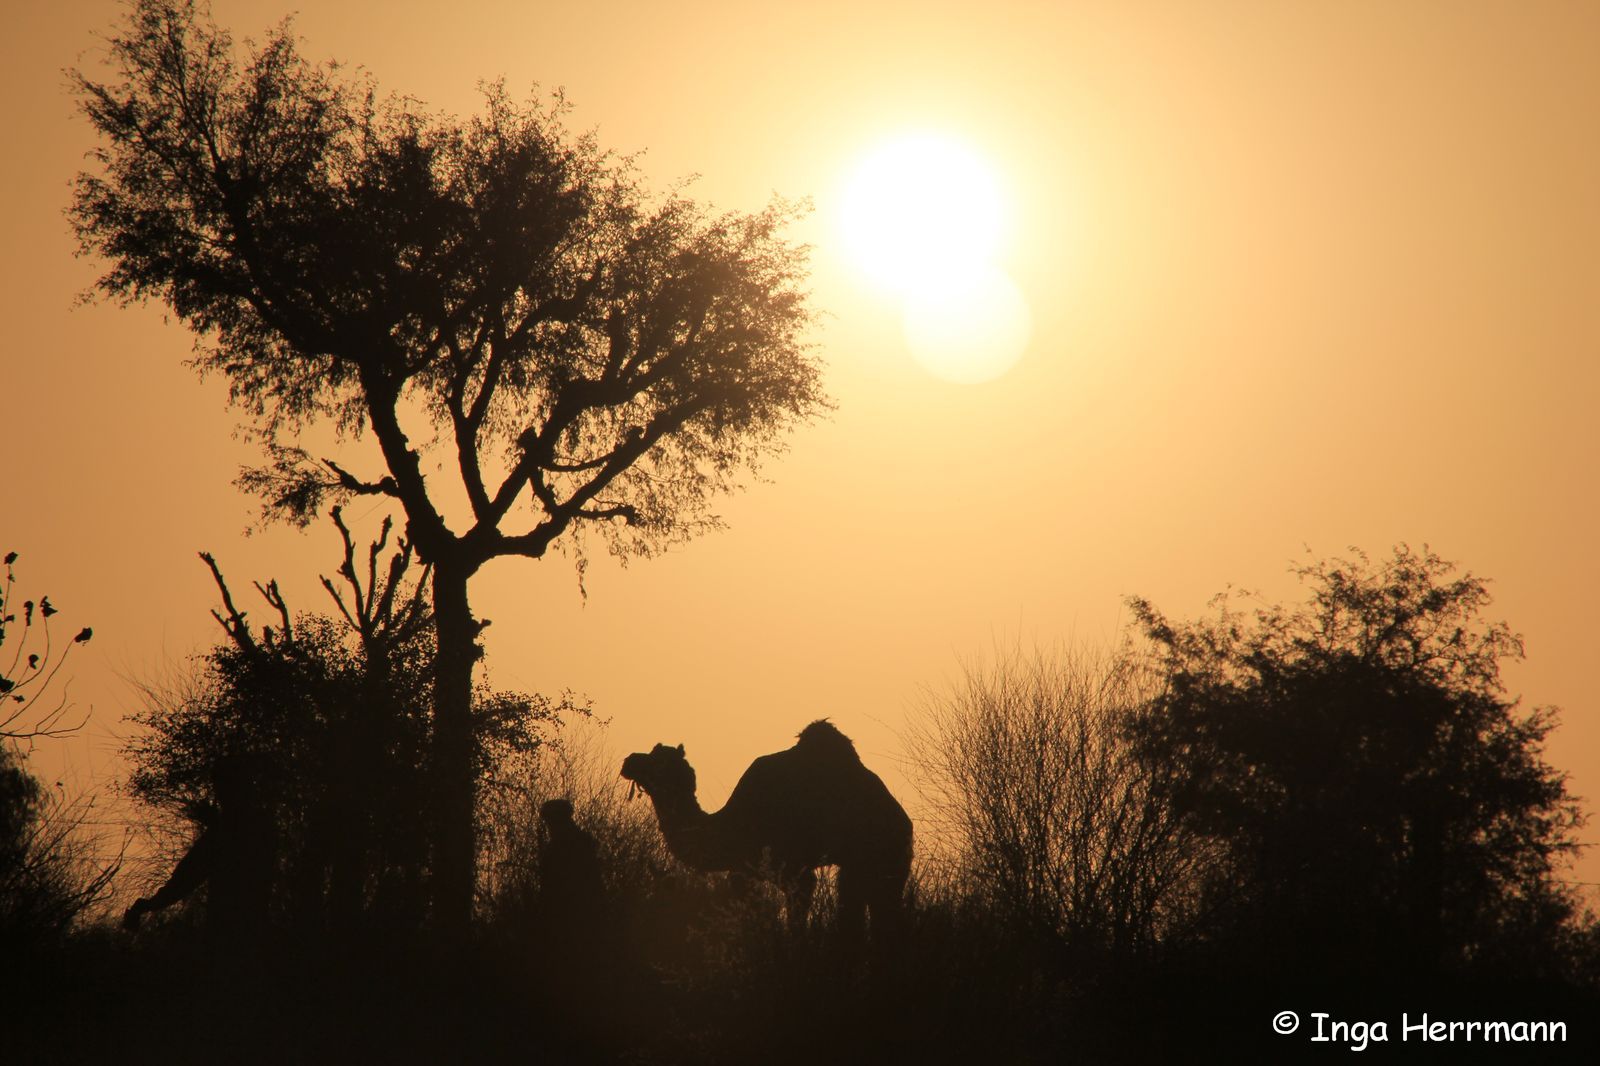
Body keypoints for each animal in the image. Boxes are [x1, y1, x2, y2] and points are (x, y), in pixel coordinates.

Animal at [614, 717, 908, 934]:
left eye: (656, 760)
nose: (629, 761)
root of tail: (904, 822)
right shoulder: (746, 870)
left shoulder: (791, 870)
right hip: (859, 866)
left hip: (886, 856)